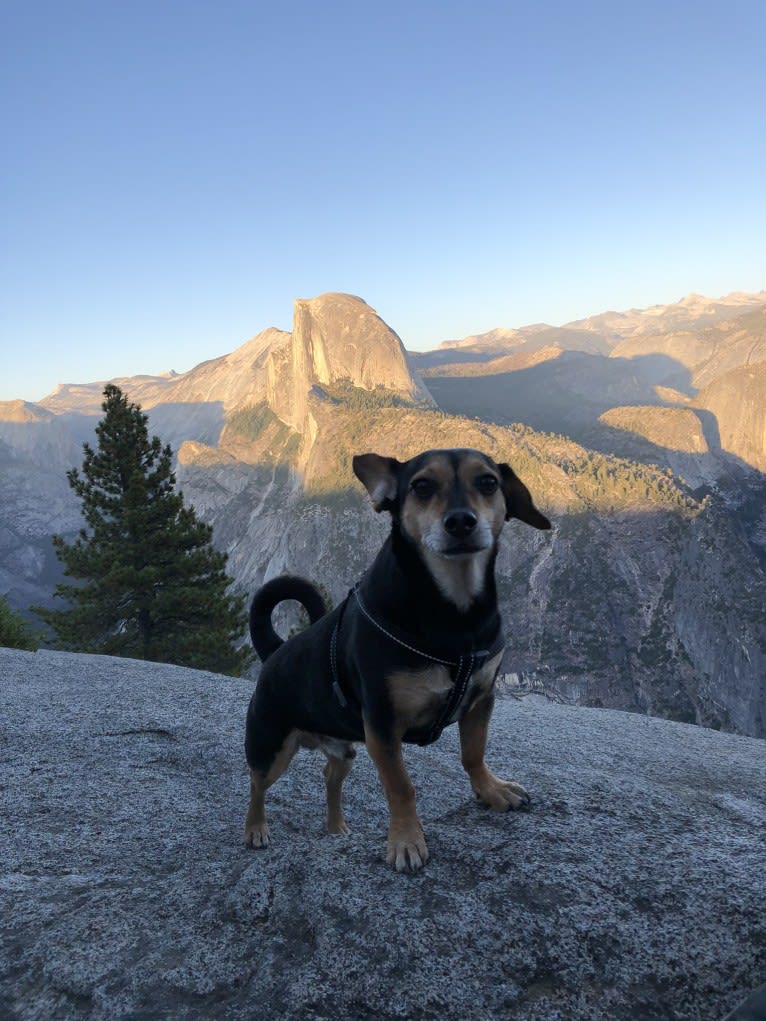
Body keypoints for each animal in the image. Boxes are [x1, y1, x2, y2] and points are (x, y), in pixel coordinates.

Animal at [246, 447, 551, 869]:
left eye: (488, 482)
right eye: (422, 486)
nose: (460, 521)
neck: (455, 615)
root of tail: (275, 652)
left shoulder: (481, 700)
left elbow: (474, 754)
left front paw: (491, 790)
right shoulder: (382, 725)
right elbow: (401, 787)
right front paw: (406, 840)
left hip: (344, 749)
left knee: (329, 773)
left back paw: (335, 827)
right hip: (270, 745)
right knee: (256, 784)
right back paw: (255, 829)